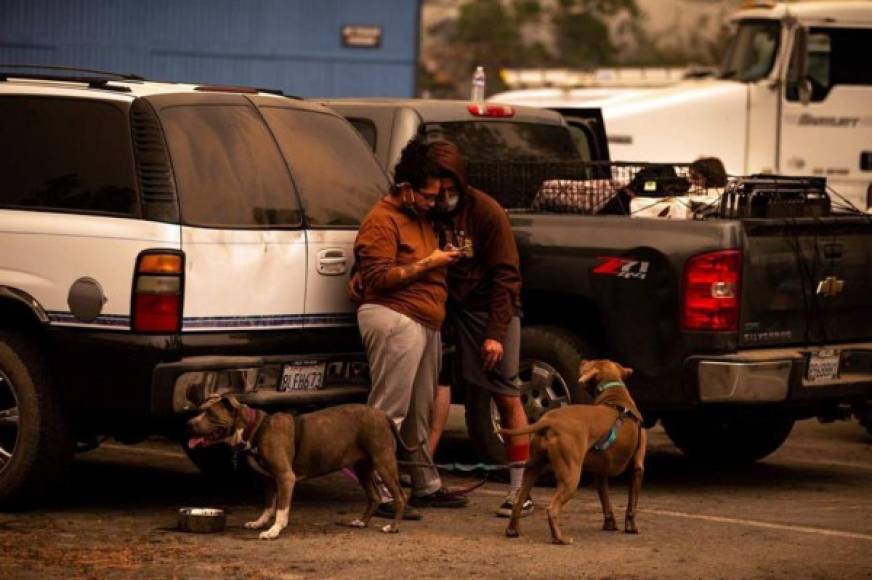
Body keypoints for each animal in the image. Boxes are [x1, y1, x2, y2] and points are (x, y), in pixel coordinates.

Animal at [186, 398, 408, 540]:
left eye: (210, 413)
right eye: (200, 410)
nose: (188, 423)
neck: (256, 429)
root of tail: (383, 414)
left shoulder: (285, 477)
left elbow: (281, 509)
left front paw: (274, 531)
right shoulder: (268, 479)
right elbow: (268, 506)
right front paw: (259, 523)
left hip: (384, 463)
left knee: (400, 496)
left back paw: (393, 527)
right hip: (362, 468)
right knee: (375, 496)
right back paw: (361, 522)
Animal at [498, 360, 648, 548]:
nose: (582, 360)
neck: (614, 393)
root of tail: (548, 420)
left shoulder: (600, 473)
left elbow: (606, 501)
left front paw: (610, 524)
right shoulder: (637, 468)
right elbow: (631, 506)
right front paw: (631, 527)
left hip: (533, 468)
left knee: (519, 502)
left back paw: (512, 530)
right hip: (571, 476)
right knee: (552, 509)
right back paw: (560, 538)